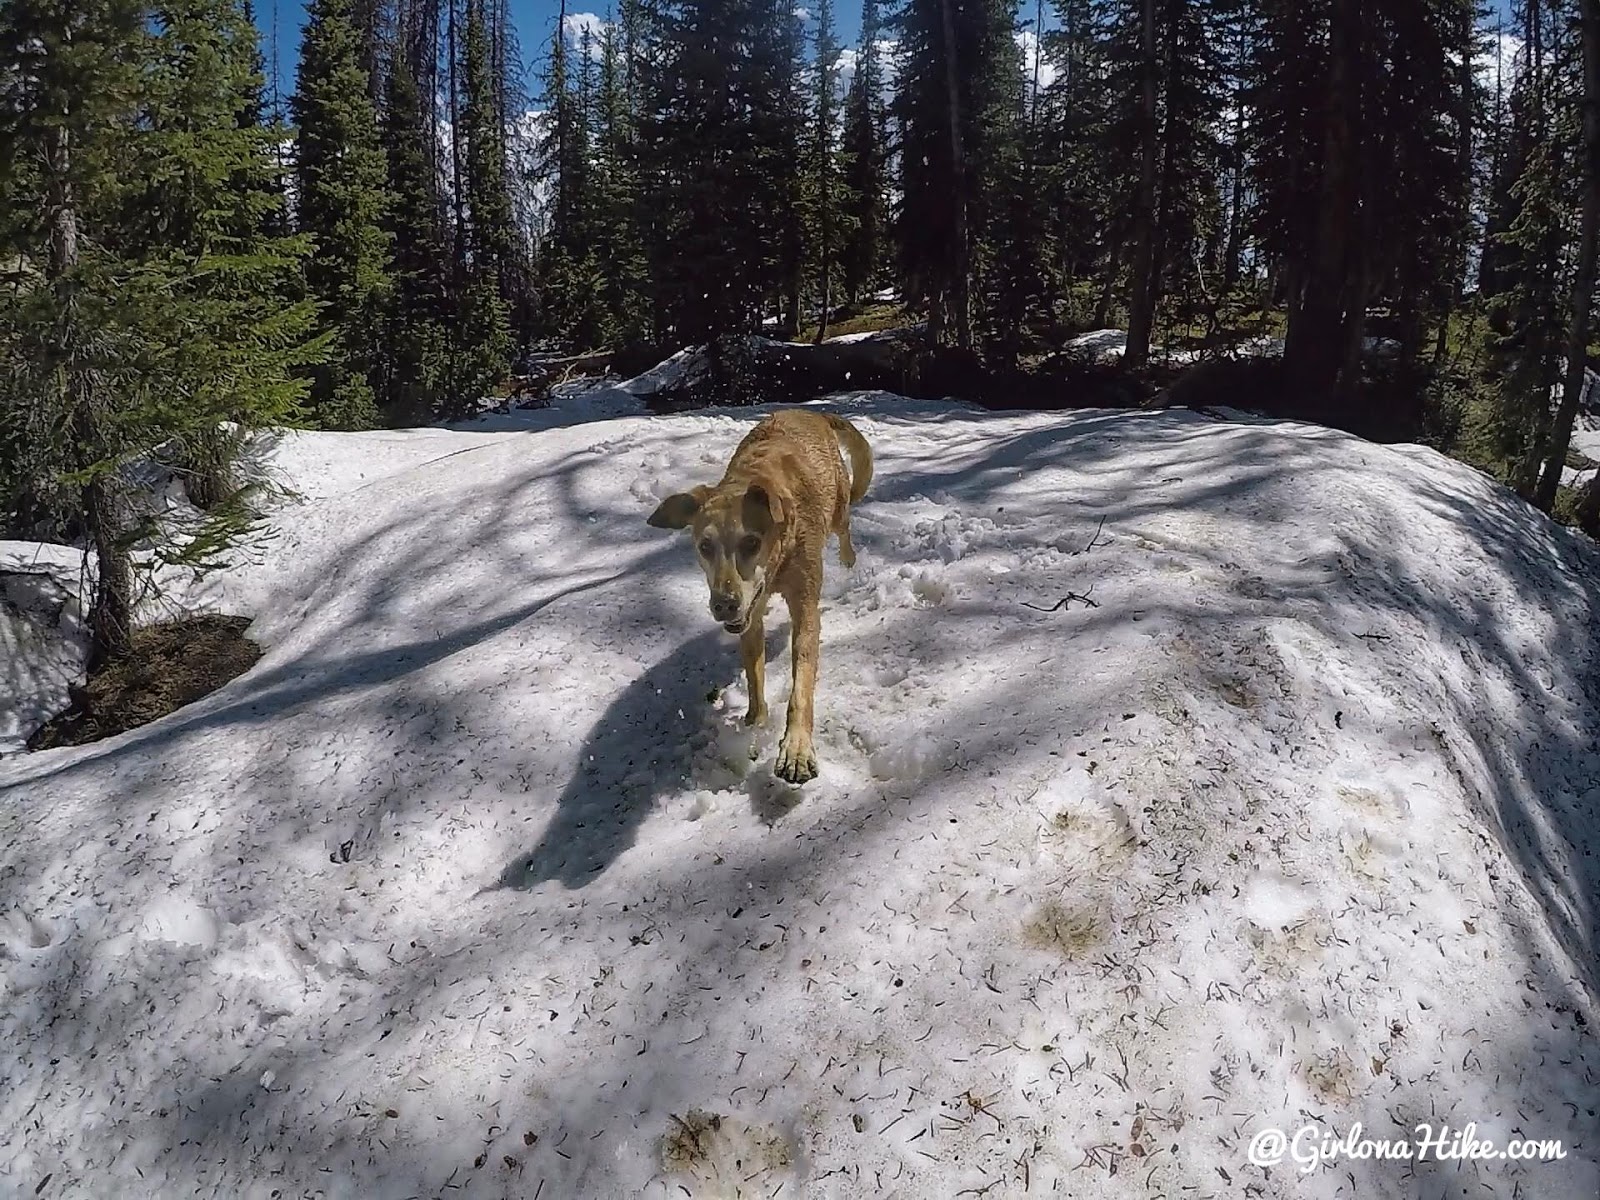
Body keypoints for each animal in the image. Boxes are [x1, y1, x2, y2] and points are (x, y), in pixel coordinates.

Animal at [646, 412, 876, 790]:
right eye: (705, 546)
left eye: (751, 542)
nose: (724, 604)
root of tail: (812, 413)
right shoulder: (749, 618)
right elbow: (754, 675)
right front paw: (755, 723)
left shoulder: (805, 607)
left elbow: (802, 682)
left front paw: (796, 748)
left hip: (839, 505)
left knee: (844, 529)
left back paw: (849, 560)